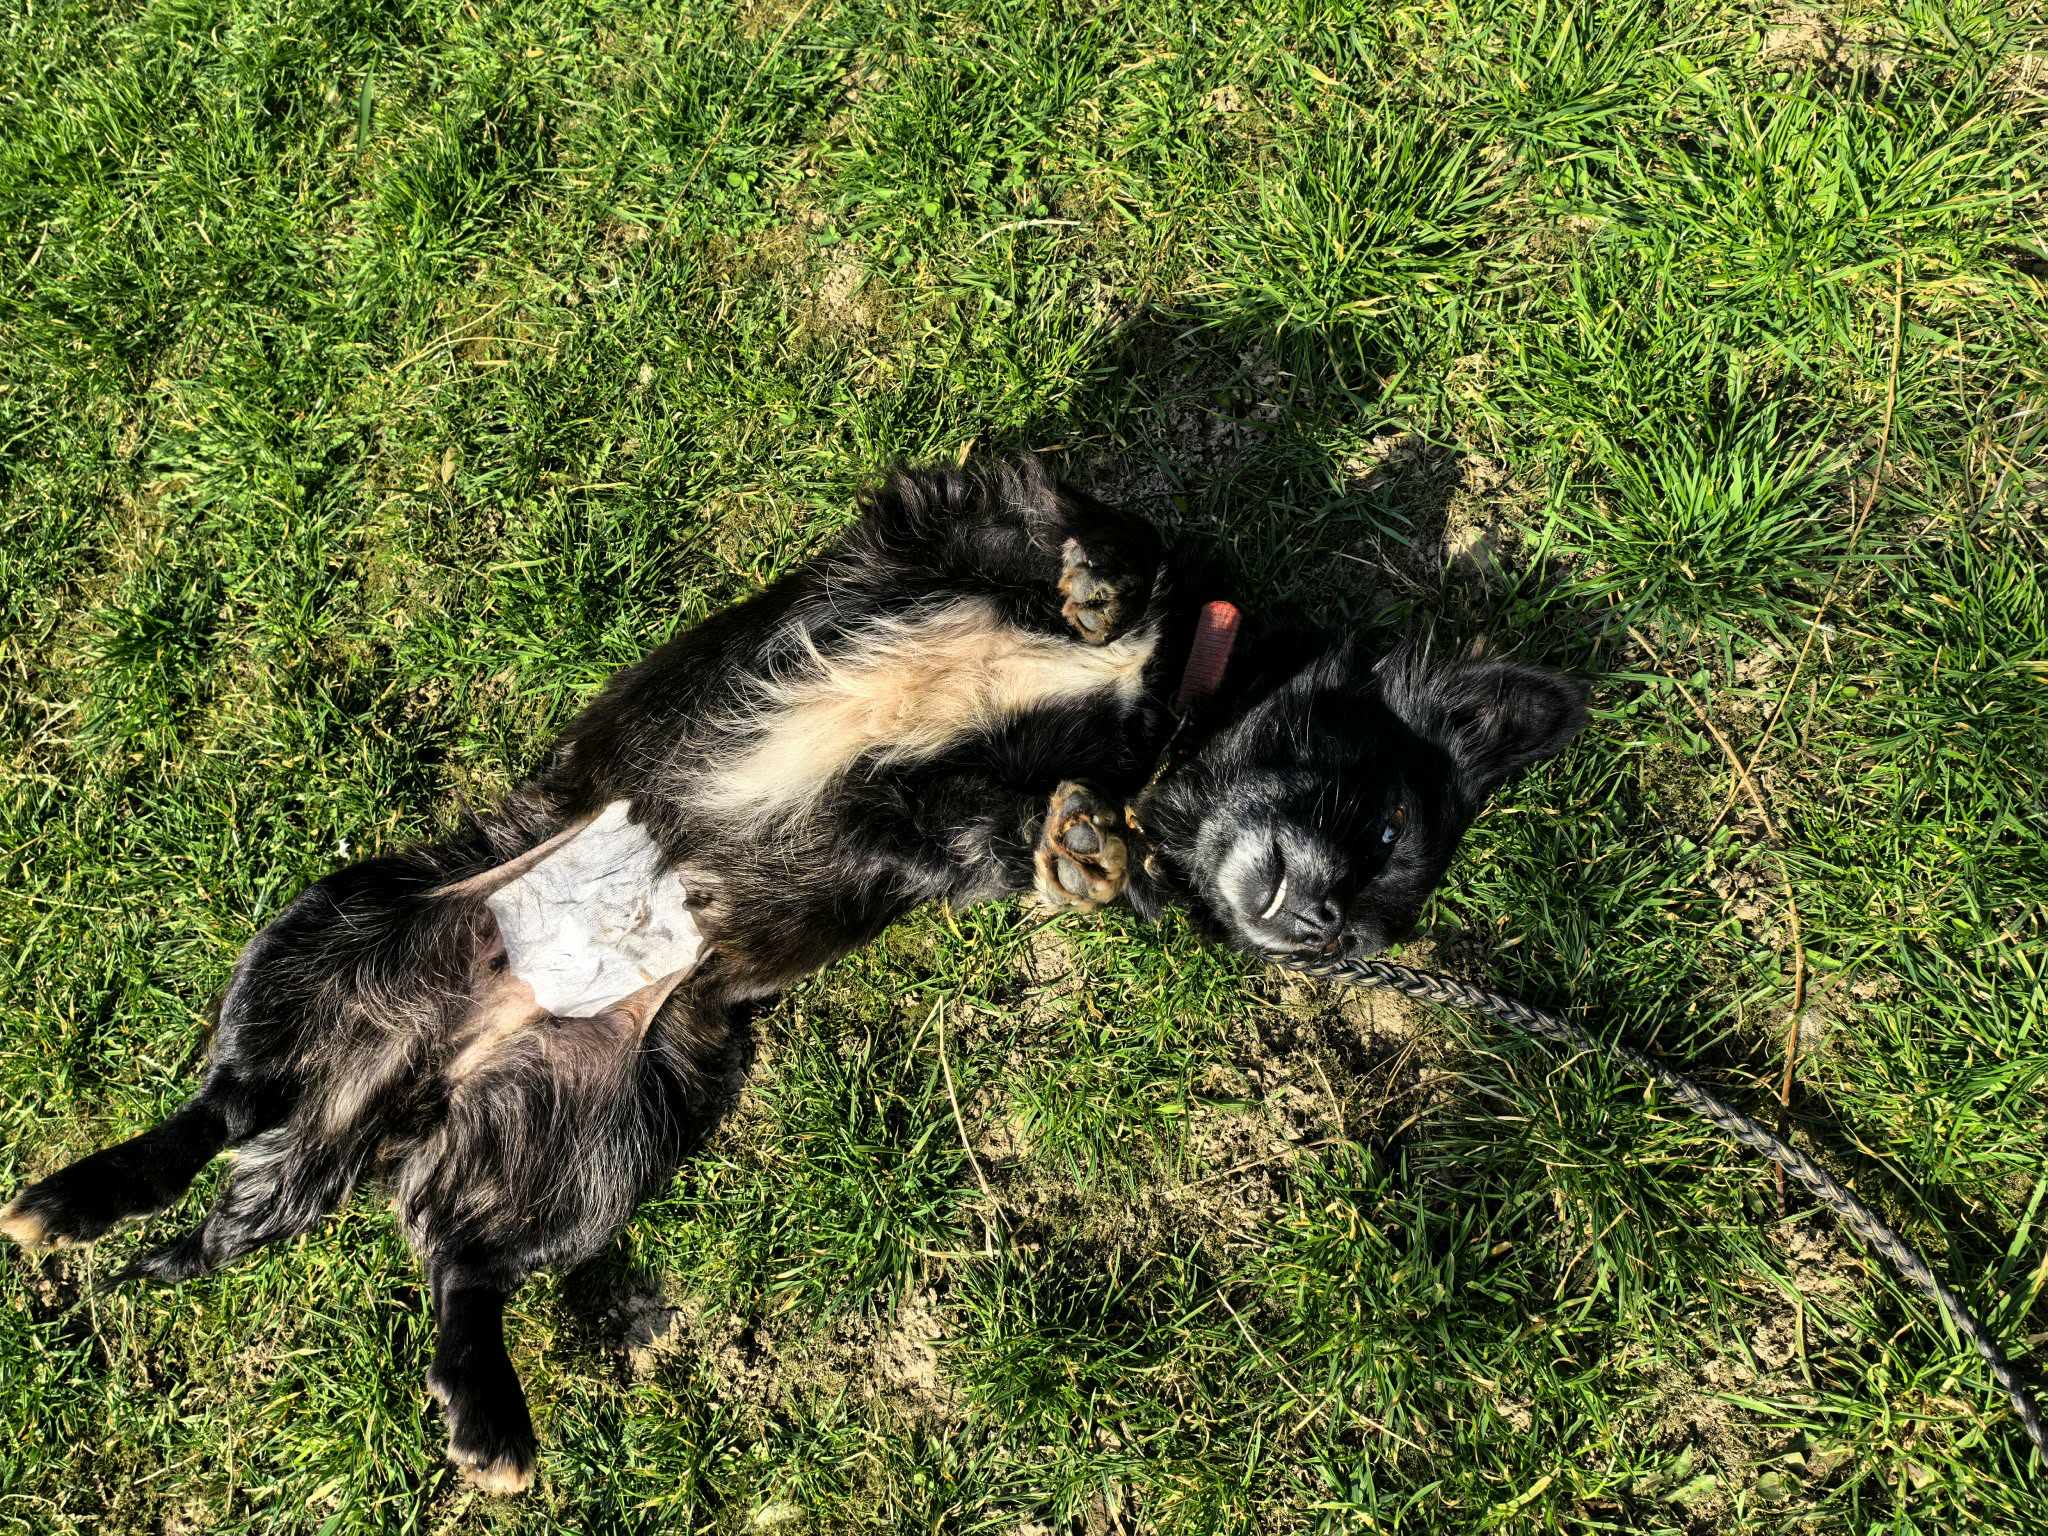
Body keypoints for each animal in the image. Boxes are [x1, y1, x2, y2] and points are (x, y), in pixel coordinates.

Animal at [0, 457, 1586, 1490]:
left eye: (1374, 918)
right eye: (1376, 830)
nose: (1312, 929)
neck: (1162, 722)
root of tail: (410, 1082)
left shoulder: (934, 842)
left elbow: (1008, 827)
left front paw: (1095, 851)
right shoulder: (947, 506)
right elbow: (1101, 521)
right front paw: (1096, 594)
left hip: (614, 1133)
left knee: (452, 1257)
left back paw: (488, 1418)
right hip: (335, 919)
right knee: (219, 1109)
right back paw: (71, 1199)